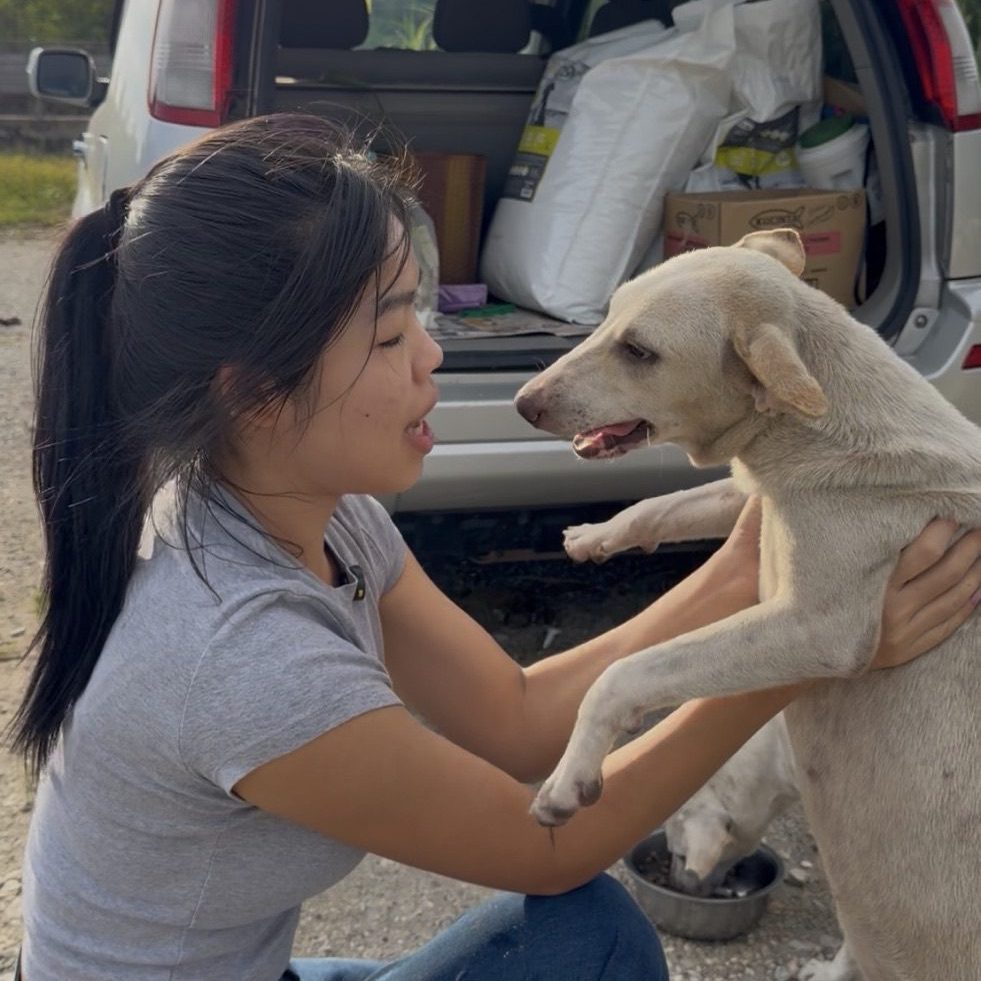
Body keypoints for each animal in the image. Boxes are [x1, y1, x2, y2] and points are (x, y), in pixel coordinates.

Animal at [514, 229, 981, 981]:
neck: (816, 424)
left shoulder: (820, 625)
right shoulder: (752, 496)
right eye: (608, 315)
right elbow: (669, 502)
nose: (523, 403)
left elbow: (624, 672)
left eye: (638, 350)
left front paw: (568, 779)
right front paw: (595, 535)